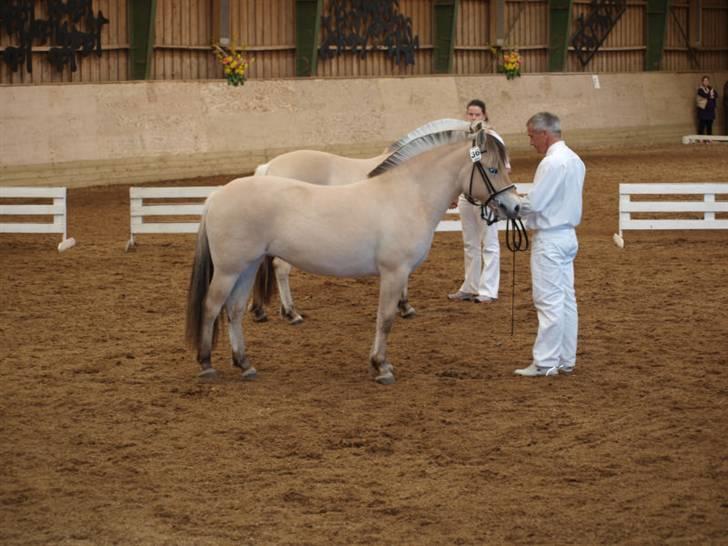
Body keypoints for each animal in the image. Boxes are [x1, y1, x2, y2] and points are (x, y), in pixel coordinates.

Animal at [249, 119, 472, 324]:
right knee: (281, 268)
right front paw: (405, 306)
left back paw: (261, 311)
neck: (410, 175)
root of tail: (269, 166)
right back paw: (291, 313)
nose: (455, 201)